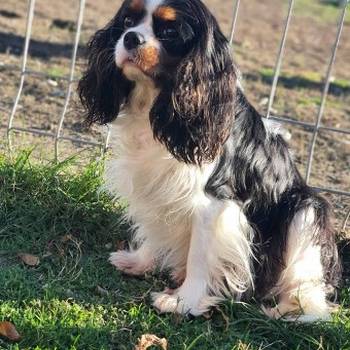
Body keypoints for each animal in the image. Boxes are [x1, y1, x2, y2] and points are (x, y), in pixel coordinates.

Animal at [78, 0, 340, 322]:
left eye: (169, 32)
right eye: (127, 21)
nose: (130, 38)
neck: (157, 102)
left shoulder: (213, 205)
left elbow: (200, 257)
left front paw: (184, 301)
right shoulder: (157, 186)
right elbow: (156, 227)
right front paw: (140, 261)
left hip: (306, 209)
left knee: (309, 290)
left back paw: (289, 308)